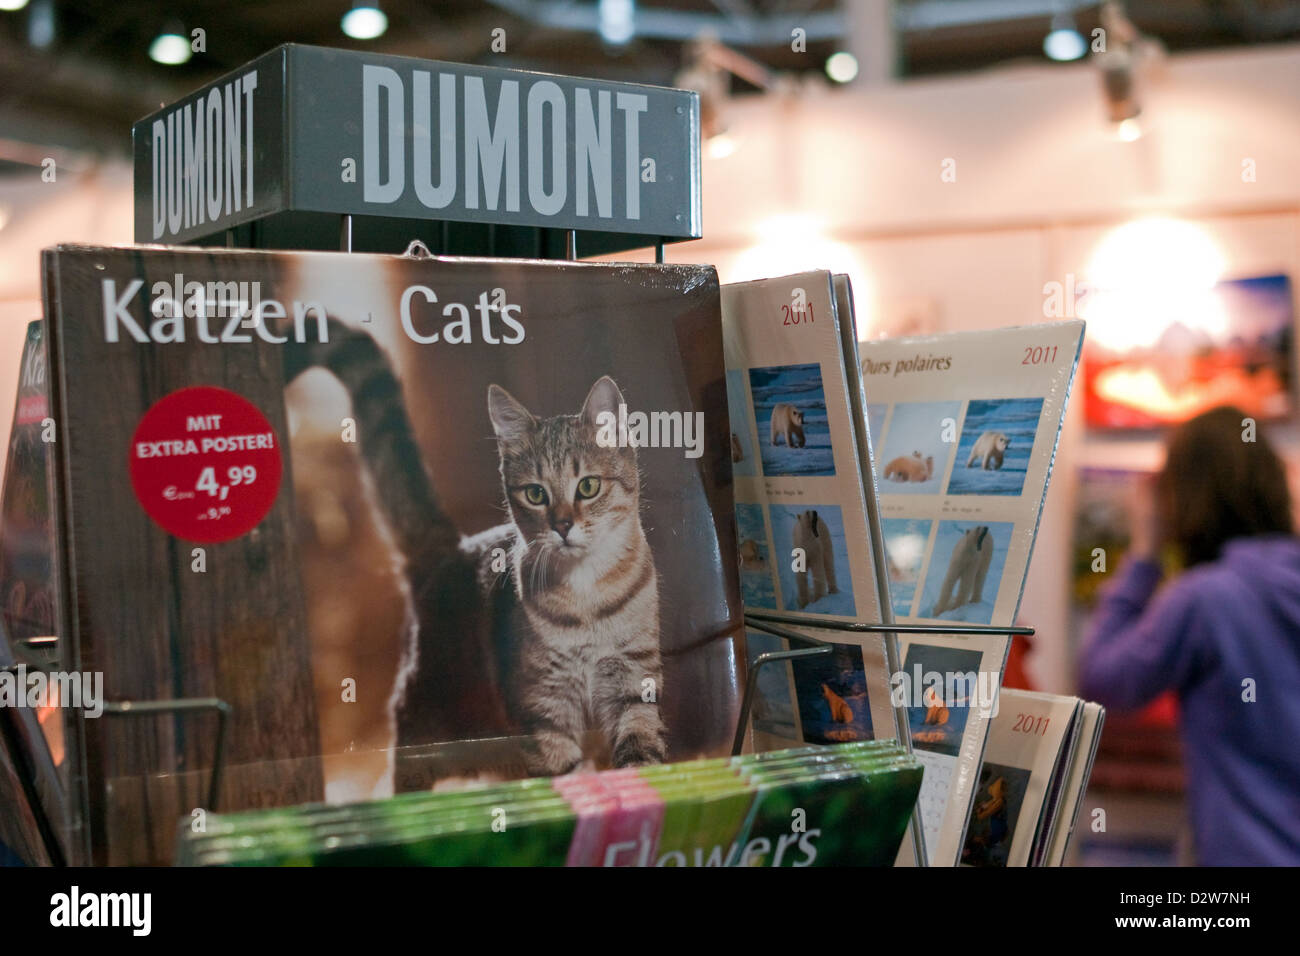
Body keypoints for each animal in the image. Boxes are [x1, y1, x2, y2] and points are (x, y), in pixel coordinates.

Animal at [288, 317, 665, 780]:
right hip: (425, 721)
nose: (562, 526)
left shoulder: (633, 681)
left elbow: (640, 752)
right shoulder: (542, 708)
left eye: (588, 486)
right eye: (535, 494)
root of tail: (450, 546)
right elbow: (566, 774)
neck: (587, 599)